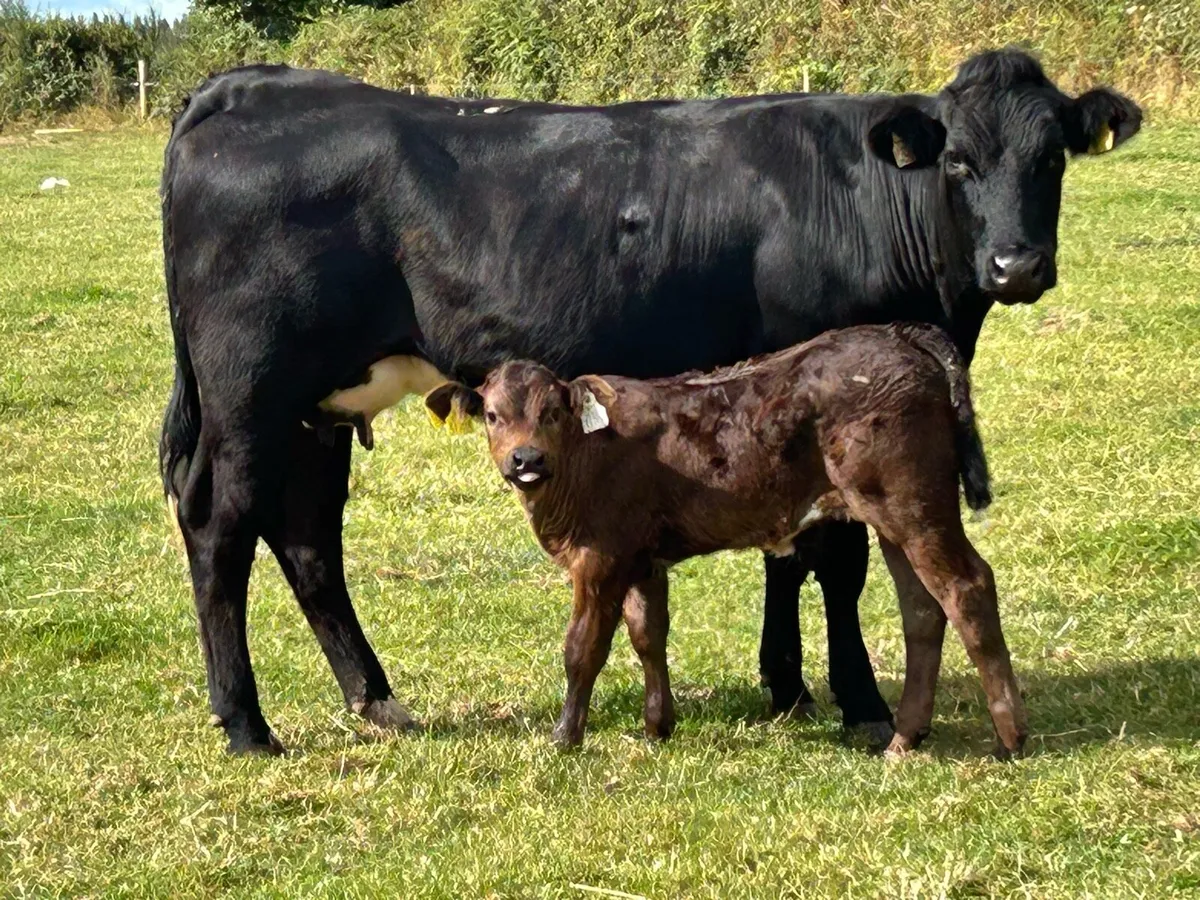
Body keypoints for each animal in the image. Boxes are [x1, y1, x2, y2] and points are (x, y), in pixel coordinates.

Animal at [423, 322, 1024, 755]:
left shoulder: (600, 557)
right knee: (922, 607)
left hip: (913, 502)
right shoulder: (644, 559)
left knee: (967, 586)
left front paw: (564, 738)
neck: (583, 455)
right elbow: (648, 634)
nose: (525, 460)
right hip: (894, 514)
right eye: (492, 415)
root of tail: (900, 336)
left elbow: (583, 648)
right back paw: (904, 739)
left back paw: (1011, 737)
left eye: (551, 412)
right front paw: (657, 727)